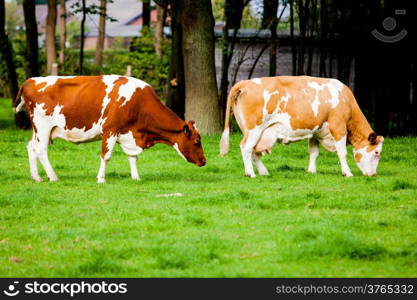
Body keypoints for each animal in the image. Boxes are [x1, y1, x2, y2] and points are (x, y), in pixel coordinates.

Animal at [14, 75, 206, 183]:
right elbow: (106, 156)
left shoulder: (129, 134)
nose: (204, 161)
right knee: (41, 150)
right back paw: (53, 177)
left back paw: (36, 177)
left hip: (38, 130)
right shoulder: (110, 130)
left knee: (31, 147)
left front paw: (136, 177)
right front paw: (101, 179)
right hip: (43, 127)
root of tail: (31, 80)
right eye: (197, 141)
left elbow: (132, 157)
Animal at [219, 76, 386, 177]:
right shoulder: (338, 127)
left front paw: (311, 171)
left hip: (254, 131)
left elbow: (313, 152)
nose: (373, 175)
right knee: (246, 148)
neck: (345, 99)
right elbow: (342, 153)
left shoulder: (316, 131)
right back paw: (251, 173)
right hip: (254, 129)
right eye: (377, 152)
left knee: (254, 152)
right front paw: (347, 173)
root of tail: (245, 82)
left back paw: (263, 172)